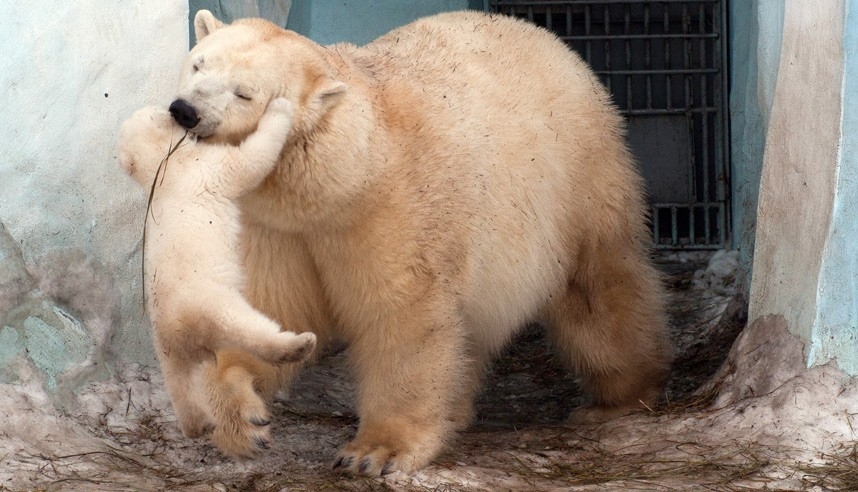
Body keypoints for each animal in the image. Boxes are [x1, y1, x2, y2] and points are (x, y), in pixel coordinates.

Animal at [169, 8, 668, 476]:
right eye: (198, 64)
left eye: (245, 92)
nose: (184, 110)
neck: (346, 175)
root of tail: (554, 43)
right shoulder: (278, 228)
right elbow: (269, 308)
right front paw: (241, 418)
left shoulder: (390, 209)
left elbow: (403, 314)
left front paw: (375, 452)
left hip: (577, 182)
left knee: (599, 290)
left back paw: (622, 395)